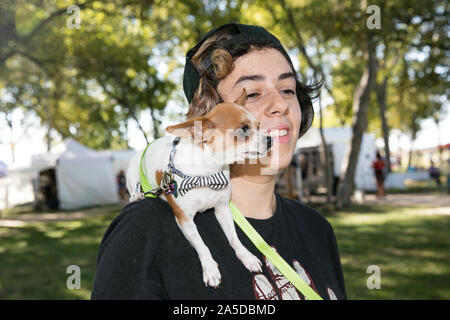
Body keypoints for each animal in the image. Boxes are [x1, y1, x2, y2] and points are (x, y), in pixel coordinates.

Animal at [127, 89, 274, 288]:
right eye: (244, 129)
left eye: (259, 125)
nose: (270, 139)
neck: (207, 174)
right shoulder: (185, 220)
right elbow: (201, 244)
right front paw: (210, 268)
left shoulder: (222, 210)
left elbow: (234, 238)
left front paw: (247, 256)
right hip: (132, 171)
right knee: (133, 186)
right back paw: (136, 195)